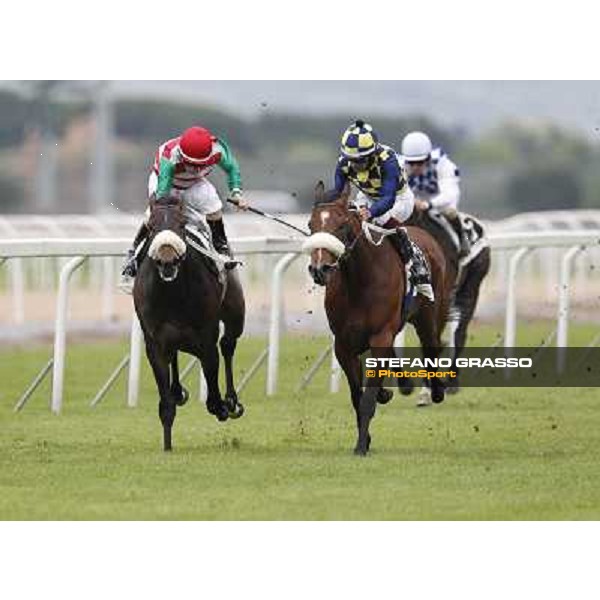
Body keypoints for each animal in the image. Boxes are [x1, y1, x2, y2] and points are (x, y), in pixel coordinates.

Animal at [135, 197, 245, 450]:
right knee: (175, 354)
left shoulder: (206, 339)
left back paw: (232, 400)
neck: (172, 292)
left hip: (236, 313)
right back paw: (178, 391)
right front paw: (167, 445)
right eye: (151, 226)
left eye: (182, 224)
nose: (167, 259)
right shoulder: (154, 343)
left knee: (228, 344)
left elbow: (213, 392)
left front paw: (223, 406)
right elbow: (165, 404)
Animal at [304, 183, 450, 454]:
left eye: (342, 226)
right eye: (311, 225)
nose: (320, 269)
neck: (359, 281)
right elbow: (357, 396)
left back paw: (436, 391)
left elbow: (367, 398)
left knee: (432, 345)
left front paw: (361, 445)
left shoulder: (380, 336)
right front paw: (366, 437)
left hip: (428, 314)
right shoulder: (344, 344)